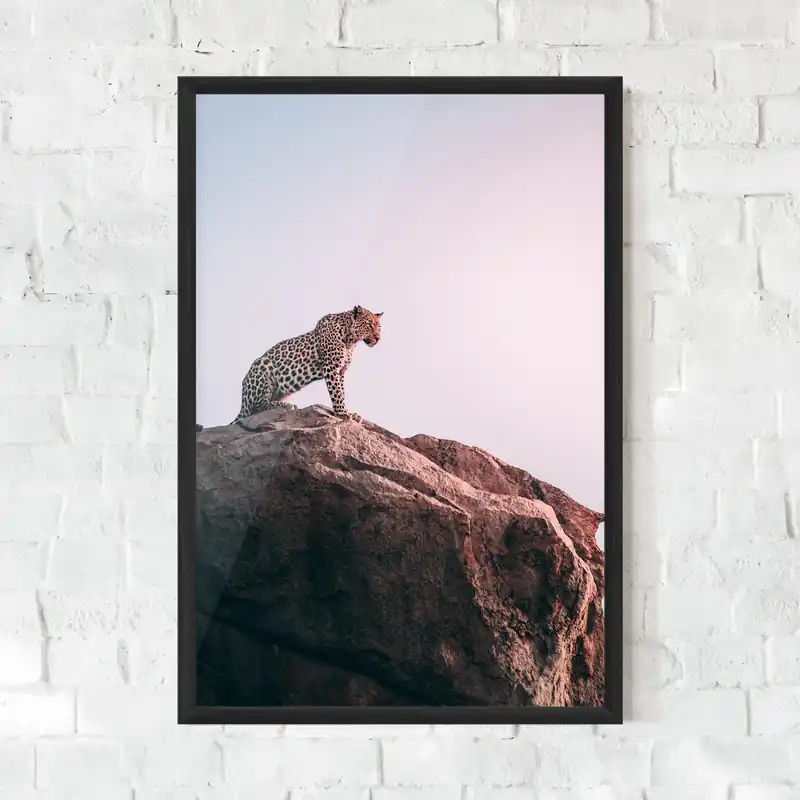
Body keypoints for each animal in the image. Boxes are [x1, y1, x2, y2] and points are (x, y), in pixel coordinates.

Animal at [232, 305, 383, 425]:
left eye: (379, 328)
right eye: (369, 324)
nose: (378, 338)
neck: (350, 340)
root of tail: (243, 399)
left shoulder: (341, 370)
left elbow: (342, 391)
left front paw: (349, 412)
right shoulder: (331, 367)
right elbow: (337, 392)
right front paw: (343, 413)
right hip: (262, 367)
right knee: (258, 407)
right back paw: (286, 405)